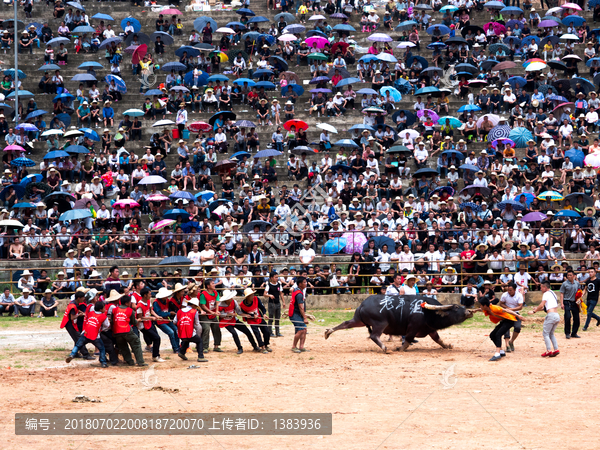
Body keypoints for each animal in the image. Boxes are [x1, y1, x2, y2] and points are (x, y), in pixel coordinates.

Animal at [324, 294, 474, 354]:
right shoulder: (413, 327)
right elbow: (407, 340)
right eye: (456, 307)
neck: (427, 311)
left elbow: (438, 339)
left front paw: (448, 345)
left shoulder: (430, 329)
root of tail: (362, 305)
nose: (469, 311)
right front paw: (400, 348)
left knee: (346, 324)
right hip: (380, 323)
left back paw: (328, 332)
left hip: (358, 320)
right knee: (374, 336)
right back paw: (385, 348)